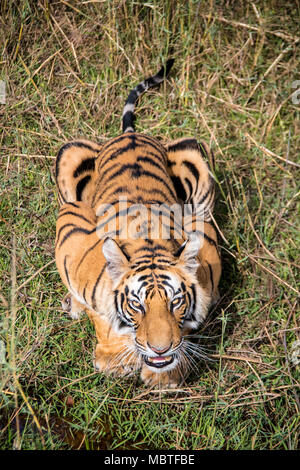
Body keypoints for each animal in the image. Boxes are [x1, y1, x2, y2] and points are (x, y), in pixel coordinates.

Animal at [55, 58, 221, 388]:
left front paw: (166, 376)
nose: (160, 349)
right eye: (137, 305)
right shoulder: (69, 231)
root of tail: (129, 134)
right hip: (69, 153)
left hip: (196, 160)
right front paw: (115, 361)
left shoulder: (205, 238)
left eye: (176, 302)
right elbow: (100, 315)